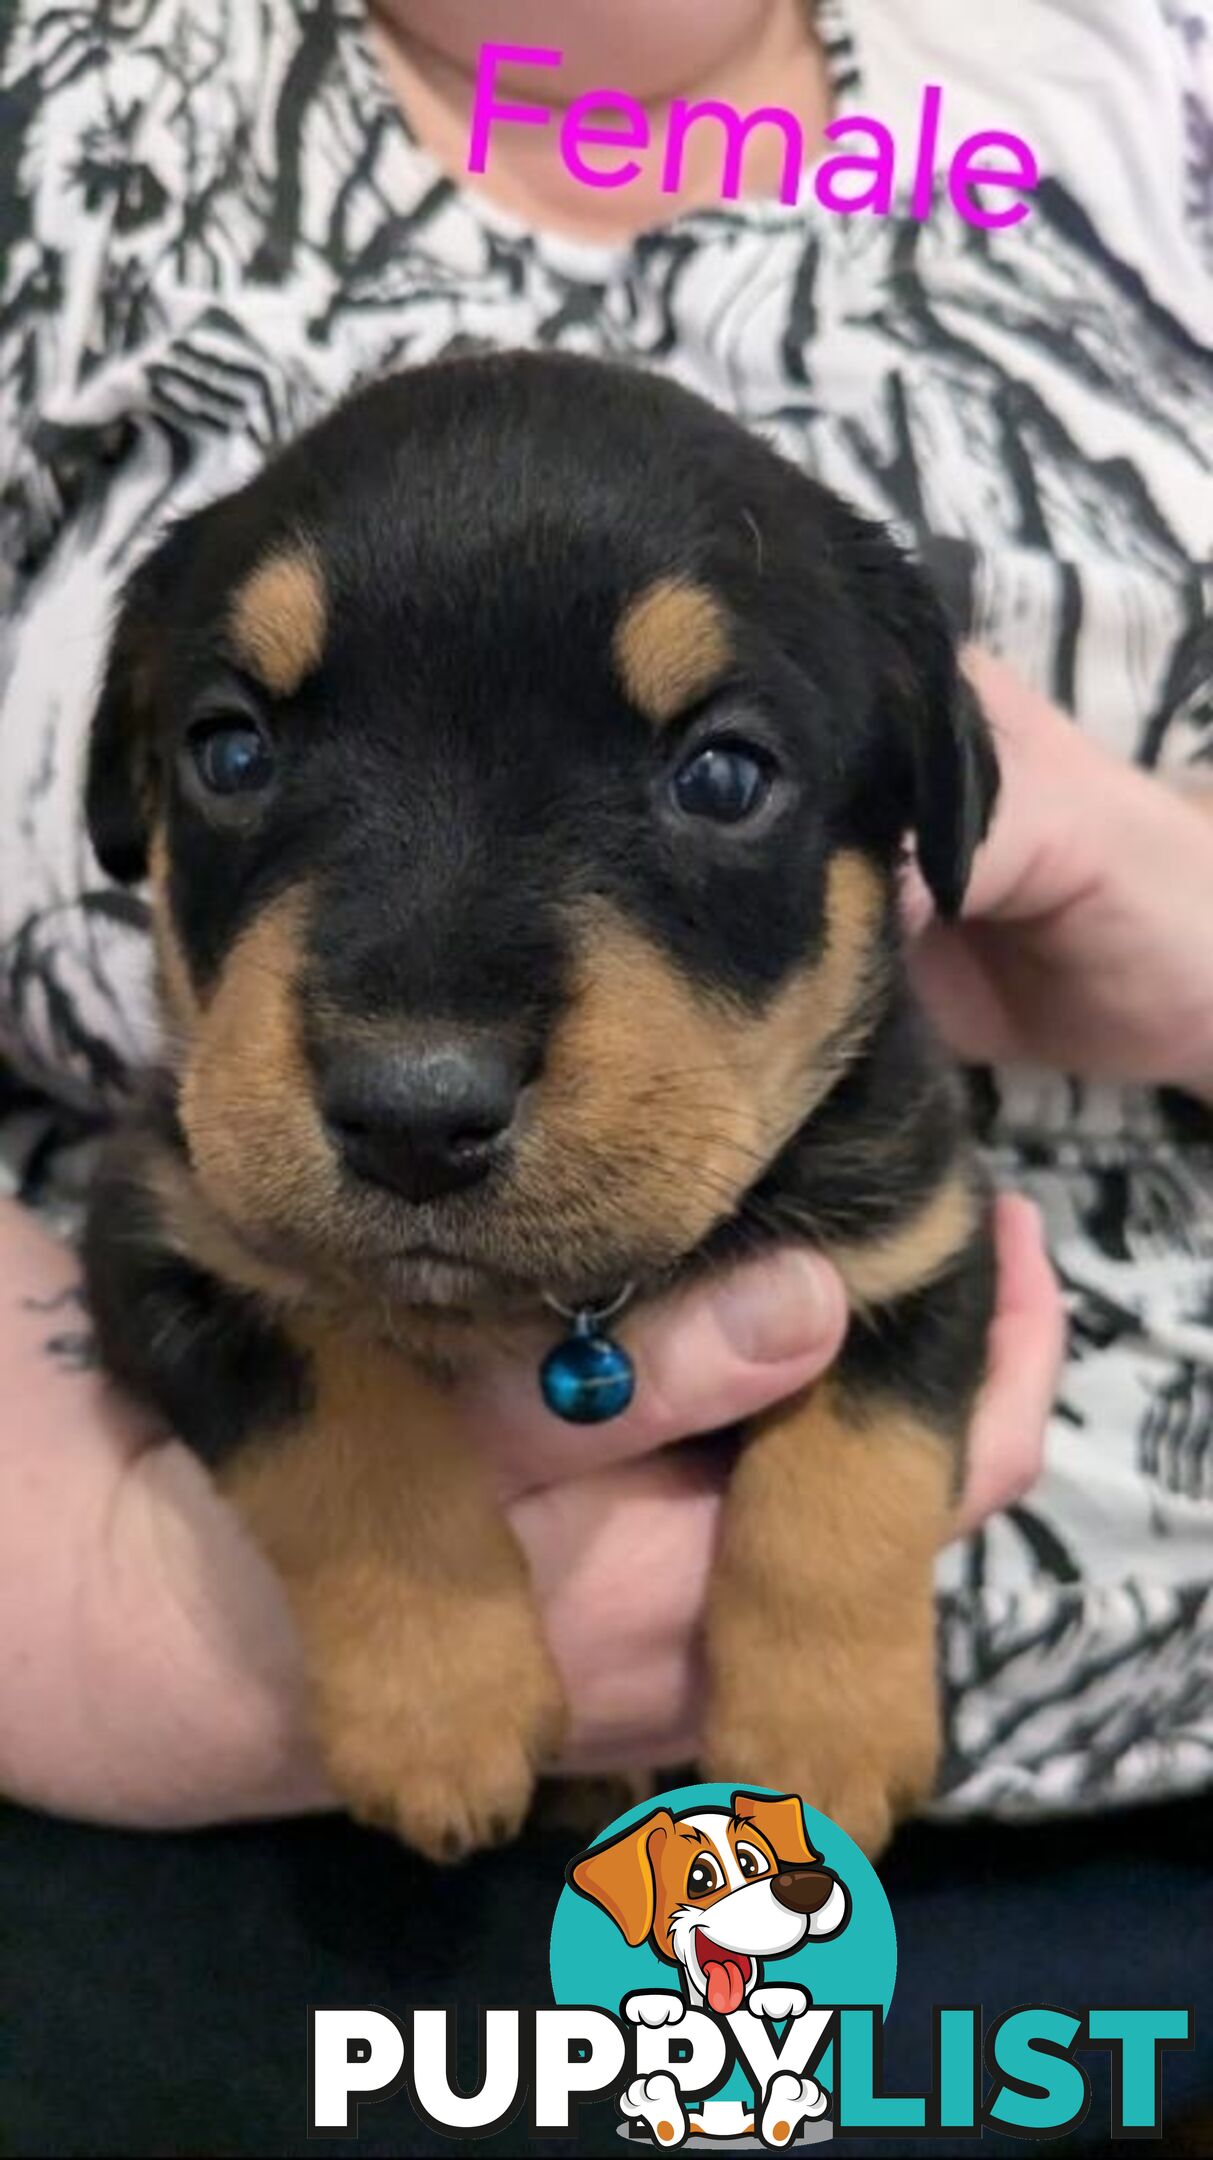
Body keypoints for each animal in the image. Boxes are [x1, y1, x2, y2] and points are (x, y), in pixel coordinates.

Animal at [82, 349, 992, 1857]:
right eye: (229, 751)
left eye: (724, 775)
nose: (413, 1113)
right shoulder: (167, 1241)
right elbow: (344, 1423)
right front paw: (442, 1714)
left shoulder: (918, 1242)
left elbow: (853, 1477)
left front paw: (820, 1740)